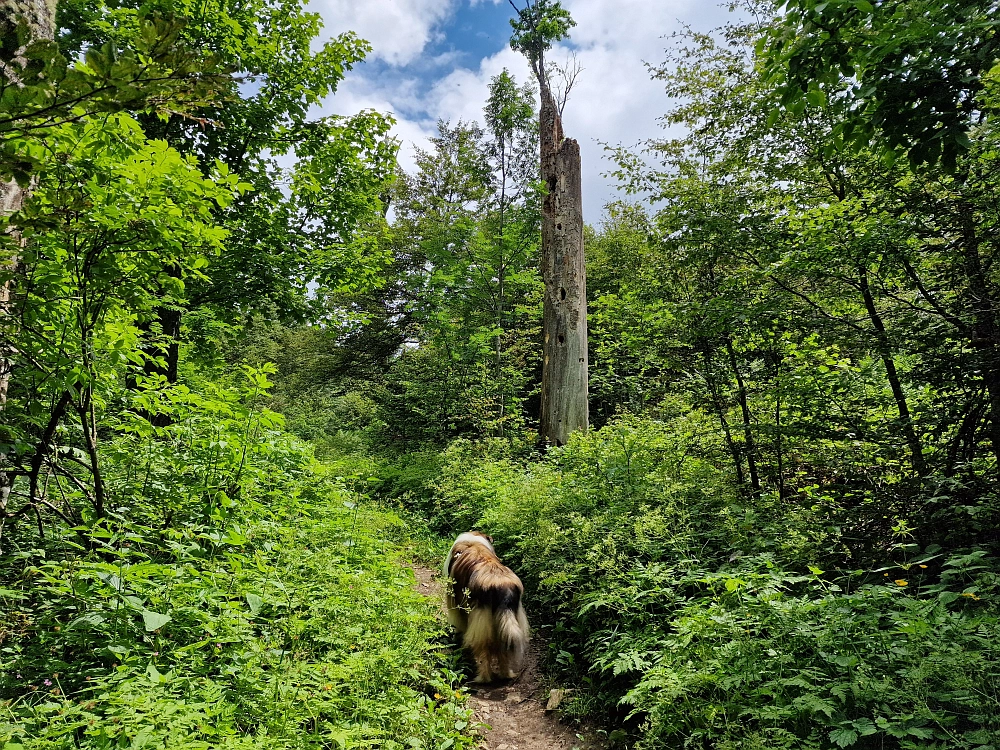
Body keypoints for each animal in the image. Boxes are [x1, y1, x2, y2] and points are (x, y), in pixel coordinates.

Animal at [442, 532, 528, 684]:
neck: (472, 542)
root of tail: (503, 589)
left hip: (481, 623)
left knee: (483, 651)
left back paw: (483, 677)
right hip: (507, 621)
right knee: (503, 649)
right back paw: (506, 674)